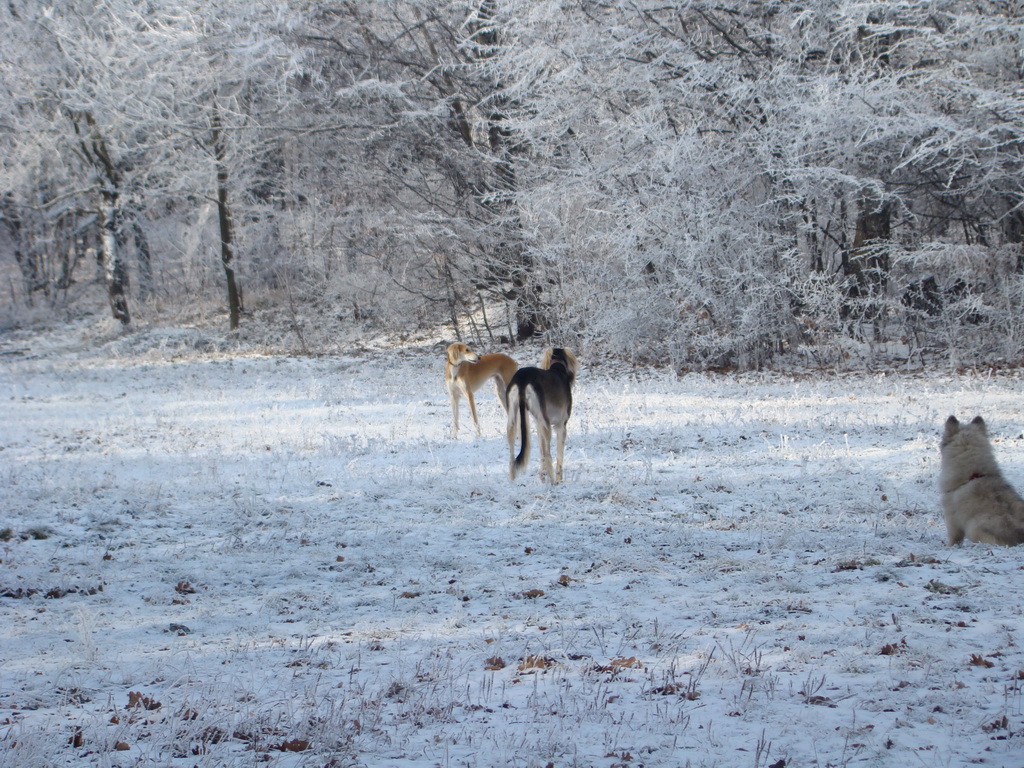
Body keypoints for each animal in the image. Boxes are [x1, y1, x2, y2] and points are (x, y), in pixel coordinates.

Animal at [507, 350, 581, 487]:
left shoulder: (538, 424)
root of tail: (522, 379)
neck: (557, 368)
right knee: (548, 454)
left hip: (513, 417)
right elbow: (558, 455)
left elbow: (541, 451)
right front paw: (559, 479)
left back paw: (512, 480)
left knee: (512, 452)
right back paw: (553, 481)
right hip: (547, 424)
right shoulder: (561, 426)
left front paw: (542, 477)